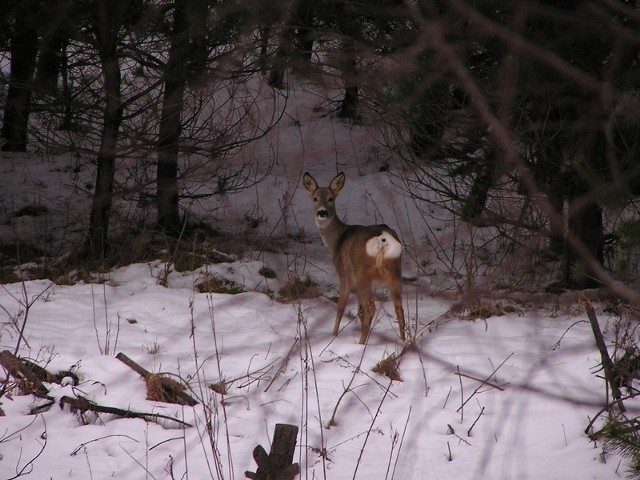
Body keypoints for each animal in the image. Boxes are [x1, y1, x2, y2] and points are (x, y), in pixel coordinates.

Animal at [302, 171, 404, 344]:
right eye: (315, 198)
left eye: (331, 198)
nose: (322, 212)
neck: (338, 239)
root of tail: (383, 240)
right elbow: (360, 311)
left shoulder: (344, 274)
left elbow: (341, 308)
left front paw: (334, 335)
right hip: (394, 270)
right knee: (399, 308)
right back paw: (405, 342)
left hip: (363, 272)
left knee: (371, 307)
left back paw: (361, 344)